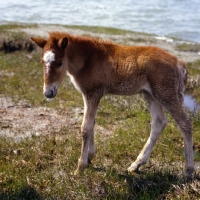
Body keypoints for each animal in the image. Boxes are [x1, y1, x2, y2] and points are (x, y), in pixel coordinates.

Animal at [31, 32, 194, 177]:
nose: (48, 93)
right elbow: (92, 123)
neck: (88, 60)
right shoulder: (89, 94)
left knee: (185, 122)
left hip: (166, 94)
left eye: (59, 63)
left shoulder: (93, 93)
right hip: (150, 94)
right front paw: (90, 157)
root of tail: (179, 64)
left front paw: (80, 167)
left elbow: (86, 127)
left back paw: (188, 171)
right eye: (42, 62)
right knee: (159, 122)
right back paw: (136, 165)